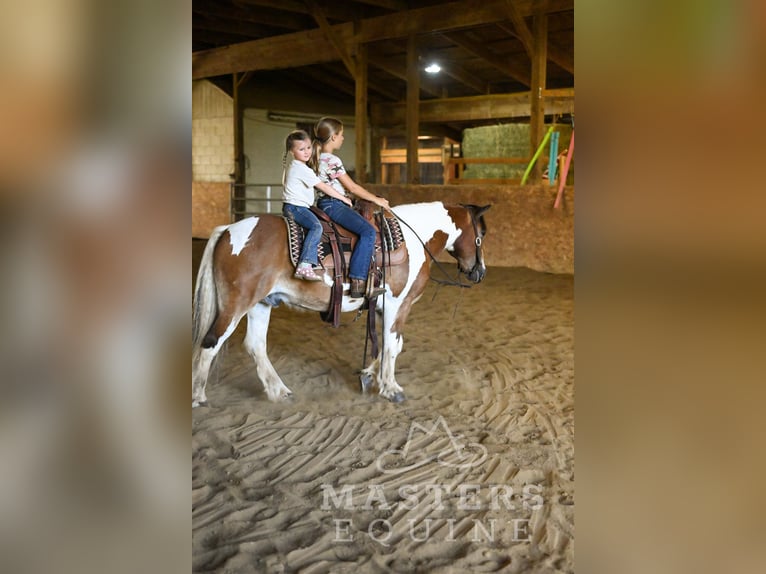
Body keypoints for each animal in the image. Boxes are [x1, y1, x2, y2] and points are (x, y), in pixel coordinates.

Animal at [192, 201, 490, 407]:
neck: (415, 240)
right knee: (211, 342)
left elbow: (387, 344)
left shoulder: (382, 307)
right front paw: (391, 388)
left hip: (260, 304)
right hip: (236, 304)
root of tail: (228, 230)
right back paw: (198, 396)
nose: (480, 272)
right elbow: (393, 345)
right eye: (482, 234)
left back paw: (280, 391)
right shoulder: (398, 304)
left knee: (255, 345)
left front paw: (370, 375)